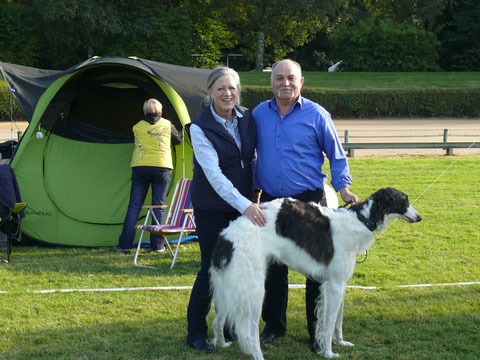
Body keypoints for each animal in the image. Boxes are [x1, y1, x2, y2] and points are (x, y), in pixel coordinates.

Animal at [209, 187, 420, 358]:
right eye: (405, 200)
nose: (419, 218)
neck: (360, 221)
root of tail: (225, 239)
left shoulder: (340, 282)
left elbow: (338, 321)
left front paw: (341, 342)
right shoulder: (334, 285)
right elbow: (329, 324)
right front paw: (328, 352)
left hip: (230, 288)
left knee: (218, 320)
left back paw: (222, 344)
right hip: (253, 291)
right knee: (249, 334)